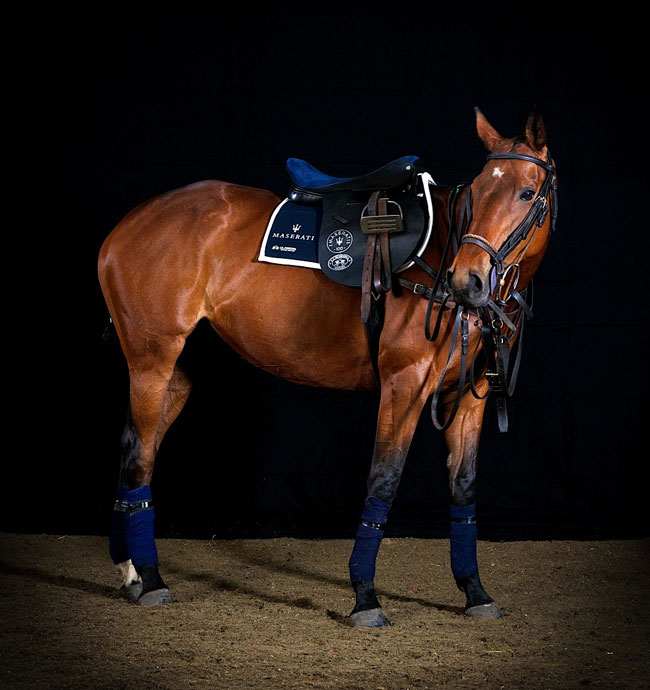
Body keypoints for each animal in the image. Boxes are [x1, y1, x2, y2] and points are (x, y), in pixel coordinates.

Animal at [98, 108, 557, 626]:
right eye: (478, 191)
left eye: (526, 193)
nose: (468, 279)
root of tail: (125, 226)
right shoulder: (404, 383)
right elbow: (384, 479)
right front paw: (365, 595)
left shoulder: (468, 396)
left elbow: (464, 487)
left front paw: (474, 590)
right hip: (152, 361)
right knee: (139, 455)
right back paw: (152, 578)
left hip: (177, 372)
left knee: (135, 446)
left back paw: (131, 569)